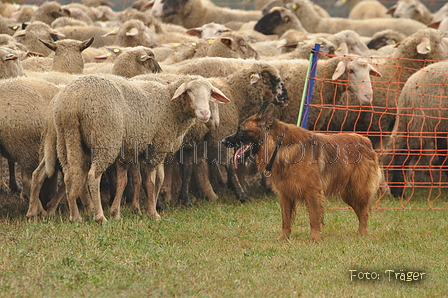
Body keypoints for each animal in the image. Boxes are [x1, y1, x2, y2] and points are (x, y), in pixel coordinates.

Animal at [51, 72, 231, 221]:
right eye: (189, 90)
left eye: (210, 93)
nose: (205, 114)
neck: (170, 105)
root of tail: (73, 99)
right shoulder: (158, 146)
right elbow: (150, 181)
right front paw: (153, 213)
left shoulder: (133, 151)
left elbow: (133, 180)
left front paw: (117, 213)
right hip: (105, 139)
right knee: (93, 176)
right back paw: (100, 216)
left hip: (66, 137)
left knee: (70, 176)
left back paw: (75, 217)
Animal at [222, 103, 380, 241]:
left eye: (241, 130)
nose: (223, 141)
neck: (278, 146)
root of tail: (366, 140)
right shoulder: (285, 195)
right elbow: (286, 220)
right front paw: (283, 238)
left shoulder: (312, 192)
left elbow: (314, 218)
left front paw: (314, 239)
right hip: (349, 194)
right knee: (362, 212)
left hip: (357, 191)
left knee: (364, 213)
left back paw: (362, 234)